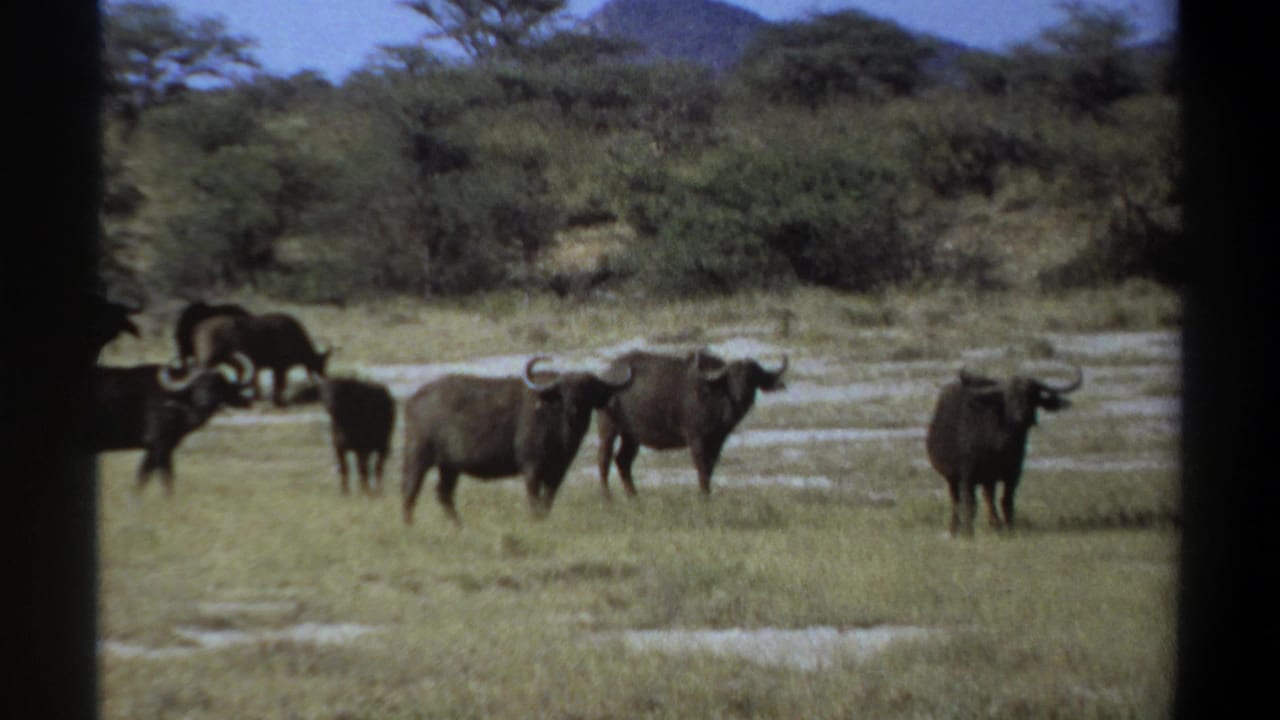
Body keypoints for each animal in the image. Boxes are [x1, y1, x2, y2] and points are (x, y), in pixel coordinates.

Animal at [90, 354, 255, 494]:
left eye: (218, 385)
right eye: (196, 385)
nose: (205, 402)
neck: (174, 401)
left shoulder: (158, 447)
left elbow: (147, 477)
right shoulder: (159, 444)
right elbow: (163, 477)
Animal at [191, 312, 332, 407]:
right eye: (321, 364)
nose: (325, 376)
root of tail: (197, 329)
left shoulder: (271, 367)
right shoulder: (279, 366)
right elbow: (278, 387)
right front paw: (278, 403)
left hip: (224, 357)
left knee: (237, 369)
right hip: (210, 356)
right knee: (199, 371)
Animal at [402, 356, 634, 526]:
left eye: (589, 388)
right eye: (564, 389)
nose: (575, 407)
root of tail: (413, 400)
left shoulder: (558, 471)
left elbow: (548, 500)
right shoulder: (532, 467)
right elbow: (534, 499)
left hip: (449, 466)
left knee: (444, 494)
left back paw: (458, 525)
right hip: (418, 457)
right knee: (410, 490)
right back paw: (410, 525)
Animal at [596, 349, 788, 497]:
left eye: (752, 378)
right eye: (731, 379)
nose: (743, 396)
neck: (714, 396)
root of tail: (607, 375)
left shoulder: (717, 441)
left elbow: (710, 467)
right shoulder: (696, 439)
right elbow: (702, 468)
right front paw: (703, 495)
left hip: (631, 436)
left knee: (623, 461)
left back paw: (634, 496)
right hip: (608, 429)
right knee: (604, 460)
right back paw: (607, 496)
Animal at [925, 365, 1084, 537]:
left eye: (1033, 395)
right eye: (1009, 397)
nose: (1023, 416)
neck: (1000, 443)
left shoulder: (1012, 474)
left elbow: (1006, 501)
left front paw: (1009, 528)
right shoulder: (967, 475)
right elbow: (969, 504)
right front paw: (968, 533)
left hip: (987, 479)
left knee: (987, 498)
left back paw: (995, 524)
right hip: (952, 478)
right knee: (956, 501)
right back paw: (955, 529)